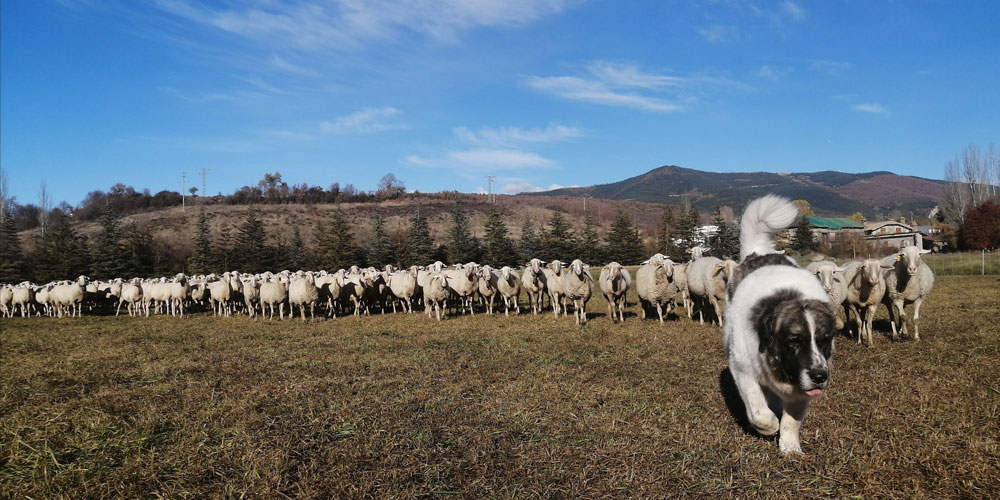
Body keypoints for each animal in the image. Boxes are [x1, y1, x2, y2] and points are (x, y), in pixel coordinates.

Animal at [724, 197, 840, 456]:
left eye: (824, 339)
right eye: (794, 340)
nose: (820, 376)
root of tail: (759, 252)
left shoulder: (800, 391)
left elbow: (791, 420)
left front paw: (790, 448)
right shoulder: (742, 368)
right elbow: (759, 413)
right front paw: (769, 427)